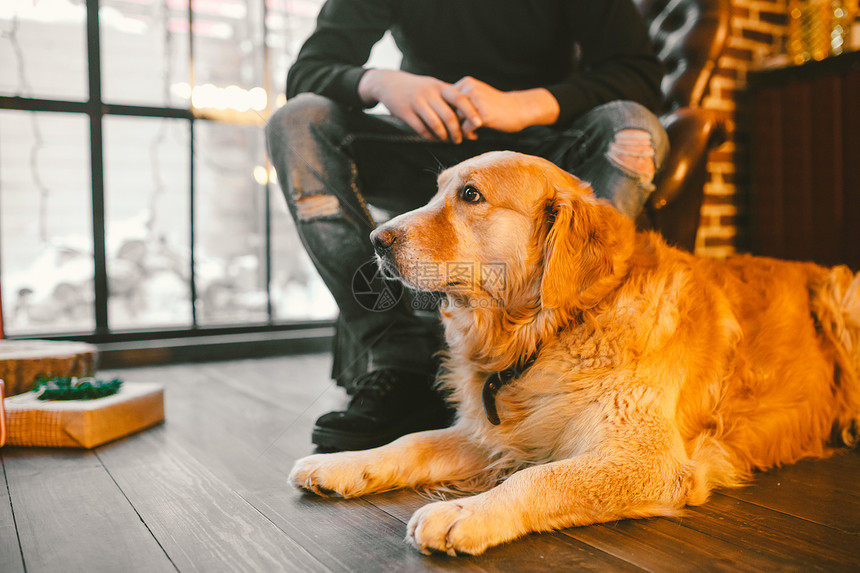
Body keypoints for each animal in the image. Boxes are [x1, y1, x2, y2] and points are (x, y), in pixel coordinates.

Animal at [288, 150, 860, 552]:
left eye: (471, 195)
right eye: (437, 192)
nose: (376, 239)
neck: (551, 331)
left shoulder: (648, 458)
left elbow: (540, 478)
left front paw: (467, 513)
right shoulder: (499, 433)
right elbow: (412, 441)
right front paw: (343, 464)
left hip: (841, 301)